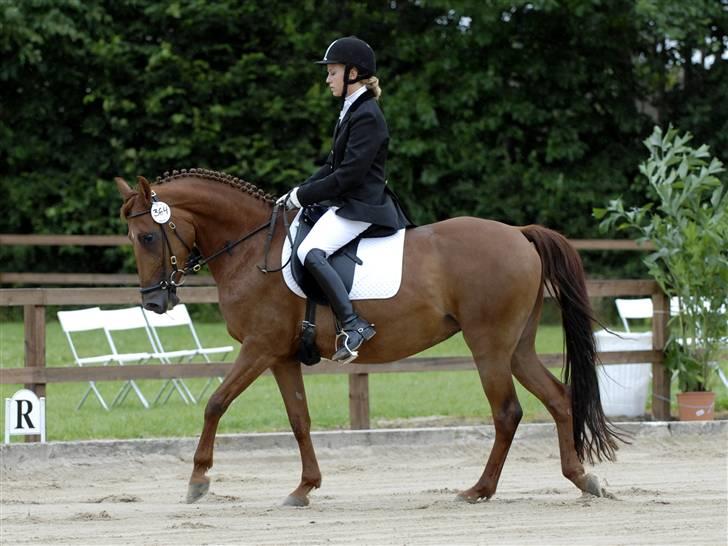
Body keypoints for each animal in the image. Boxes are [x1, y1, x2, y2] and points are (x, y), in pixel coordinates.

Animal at [116, 168, 624, 504]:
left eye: (146, 237)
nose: (154, 303)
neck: (251, 250)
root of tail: (519, 233)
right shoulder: (281, 356)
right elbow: (299, 420)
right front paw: (304, 487)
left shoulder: (258, 349)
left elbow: (216, 403)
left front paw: (198, 480)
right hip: (517, 348)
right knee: (558, 397)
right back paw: (582, 479)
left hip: (489, 346)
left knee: (507, 413)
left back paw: (479, 490)